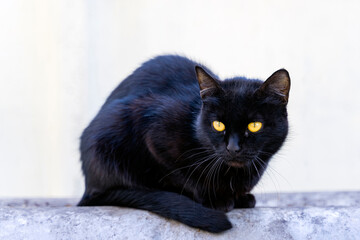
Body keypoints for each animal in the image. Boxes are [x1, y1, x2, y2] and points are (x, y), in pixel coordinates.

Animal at [78, 54, 290, 232]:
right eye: (218, 125)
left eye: (254, 126)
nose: (233, 147)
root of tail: (88, 187)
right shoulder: (153, 133)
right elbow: (182, 176)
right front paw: (216, 199)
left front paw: (241, 197)